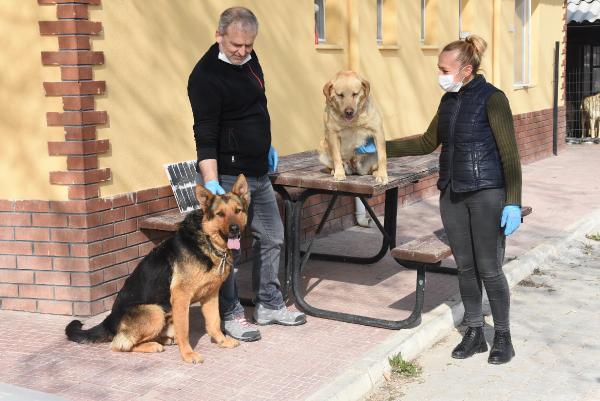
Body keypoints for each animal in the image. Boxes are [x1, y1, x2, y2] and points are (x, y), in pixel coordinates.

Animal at [66, 174, 251, 362]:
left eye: (237, 211)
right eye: (220, 214)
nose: (234, 229)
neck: (207, 241)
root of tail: (109, 320)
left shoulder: (211, 295)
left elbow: (214, 323)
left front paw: (222, 341)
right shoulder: (181, 297)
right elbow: (184, 330)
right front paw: (188, 354)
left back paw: (164, 339)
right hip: (155, 312)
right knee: (120, 344)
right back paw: (153, 345)